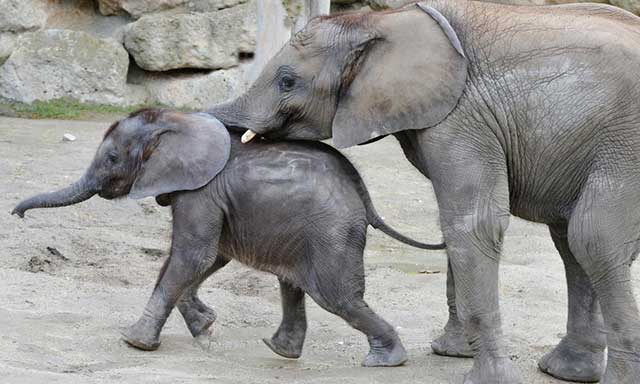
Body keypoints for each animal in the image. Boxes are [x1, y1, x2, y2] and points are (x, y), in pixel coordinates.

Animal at [15, 109, 444, 368]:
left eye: (112, 160)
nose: (16, 215)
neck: (176, 122)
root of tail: (364, 196)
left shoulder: (201, 193)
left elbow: (195, 256)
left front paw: (134, 343)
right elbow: (203, 258)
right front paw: (205, 327)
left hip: (332, 233)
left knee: (337, 296)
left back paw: (385, 361)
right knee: (293, 285)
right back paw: (281, 350)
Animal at [212, 1, 640, 382]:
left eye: (287, 82)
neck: (381, 20)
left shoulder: (462, 117)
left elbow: (472, 225)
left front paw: (486, 378)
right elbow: (457, 227)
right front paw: (451, 352)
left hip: (625, 148)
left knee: (591, 238)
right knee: (568, 239)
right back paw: (568, 372)